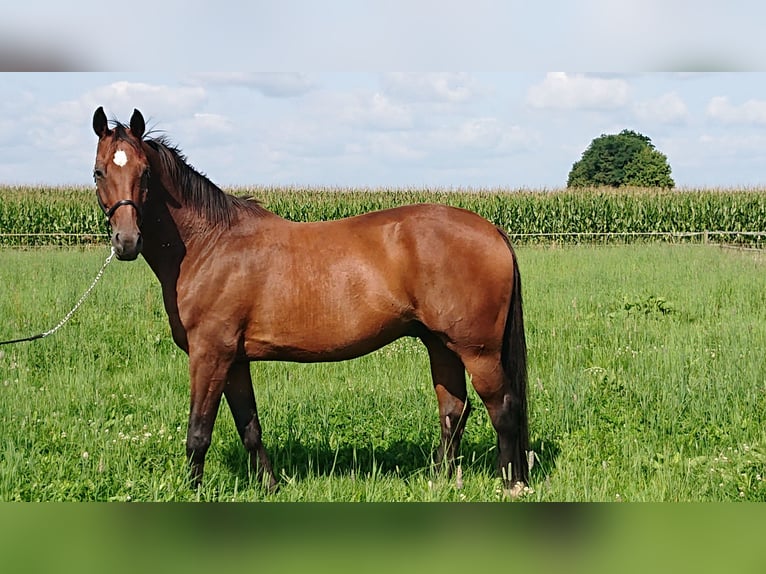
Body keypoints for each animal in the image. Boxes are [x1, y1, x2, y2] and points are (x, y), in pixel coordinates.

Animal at [91, 108, 528, 496]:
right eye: (99, 172)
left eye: (145, 172)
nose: (126, 242)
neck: (210, 244)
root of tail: (493, 231)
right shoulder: (234, 360)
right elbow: (249, 427)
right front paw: (268, 486)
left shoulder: (209, 354)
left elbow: (199, 431)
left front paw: (193, 490)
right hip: (441, 344)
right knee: (454, 410)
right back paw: (440, 480)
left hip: (478, 350)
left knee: (503, 408)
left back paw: (512, 484)